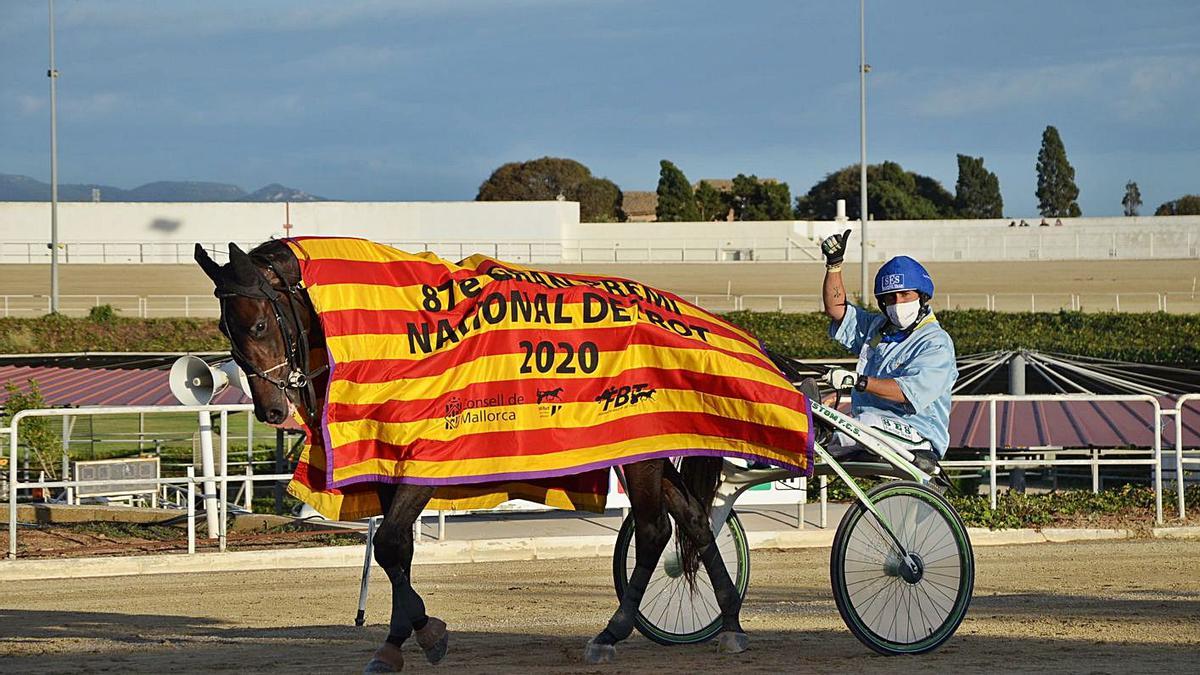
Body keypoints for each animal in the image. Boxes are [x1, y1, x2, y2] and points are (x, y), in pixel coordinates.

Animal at [192, 240, 744, 667]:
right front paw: (405, 637)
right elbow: (398, 551)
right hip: (645, 447)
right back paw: (731, 622)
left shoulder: (427, 456)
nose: (269, 408)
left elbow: (389, 544)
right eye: (225, 328)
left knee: (653, 531)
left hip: (638, 451)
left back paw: (613, 631)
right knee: (692, 516)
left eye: (259, 324)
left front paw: (418, 635)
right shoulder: (385, 457)